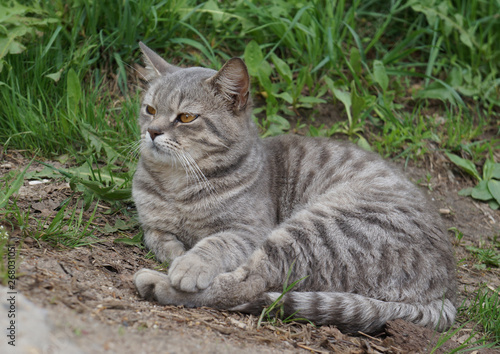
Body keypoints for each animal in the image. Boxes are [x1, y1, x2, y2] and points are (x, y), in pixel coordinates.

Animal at [133, 42, 458, 334]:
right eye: (150, 109)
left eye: (186, 117)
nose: (152, 131)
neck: (176, 185)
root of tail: (446, 292)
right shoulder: (152, 225)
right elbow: (161, 240)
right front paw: (177, 253)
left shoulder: (248, 230)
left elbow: (215, 243)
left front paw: (190, 264)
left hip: (314, 230)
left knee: (248, 284)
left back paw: (157, 284)